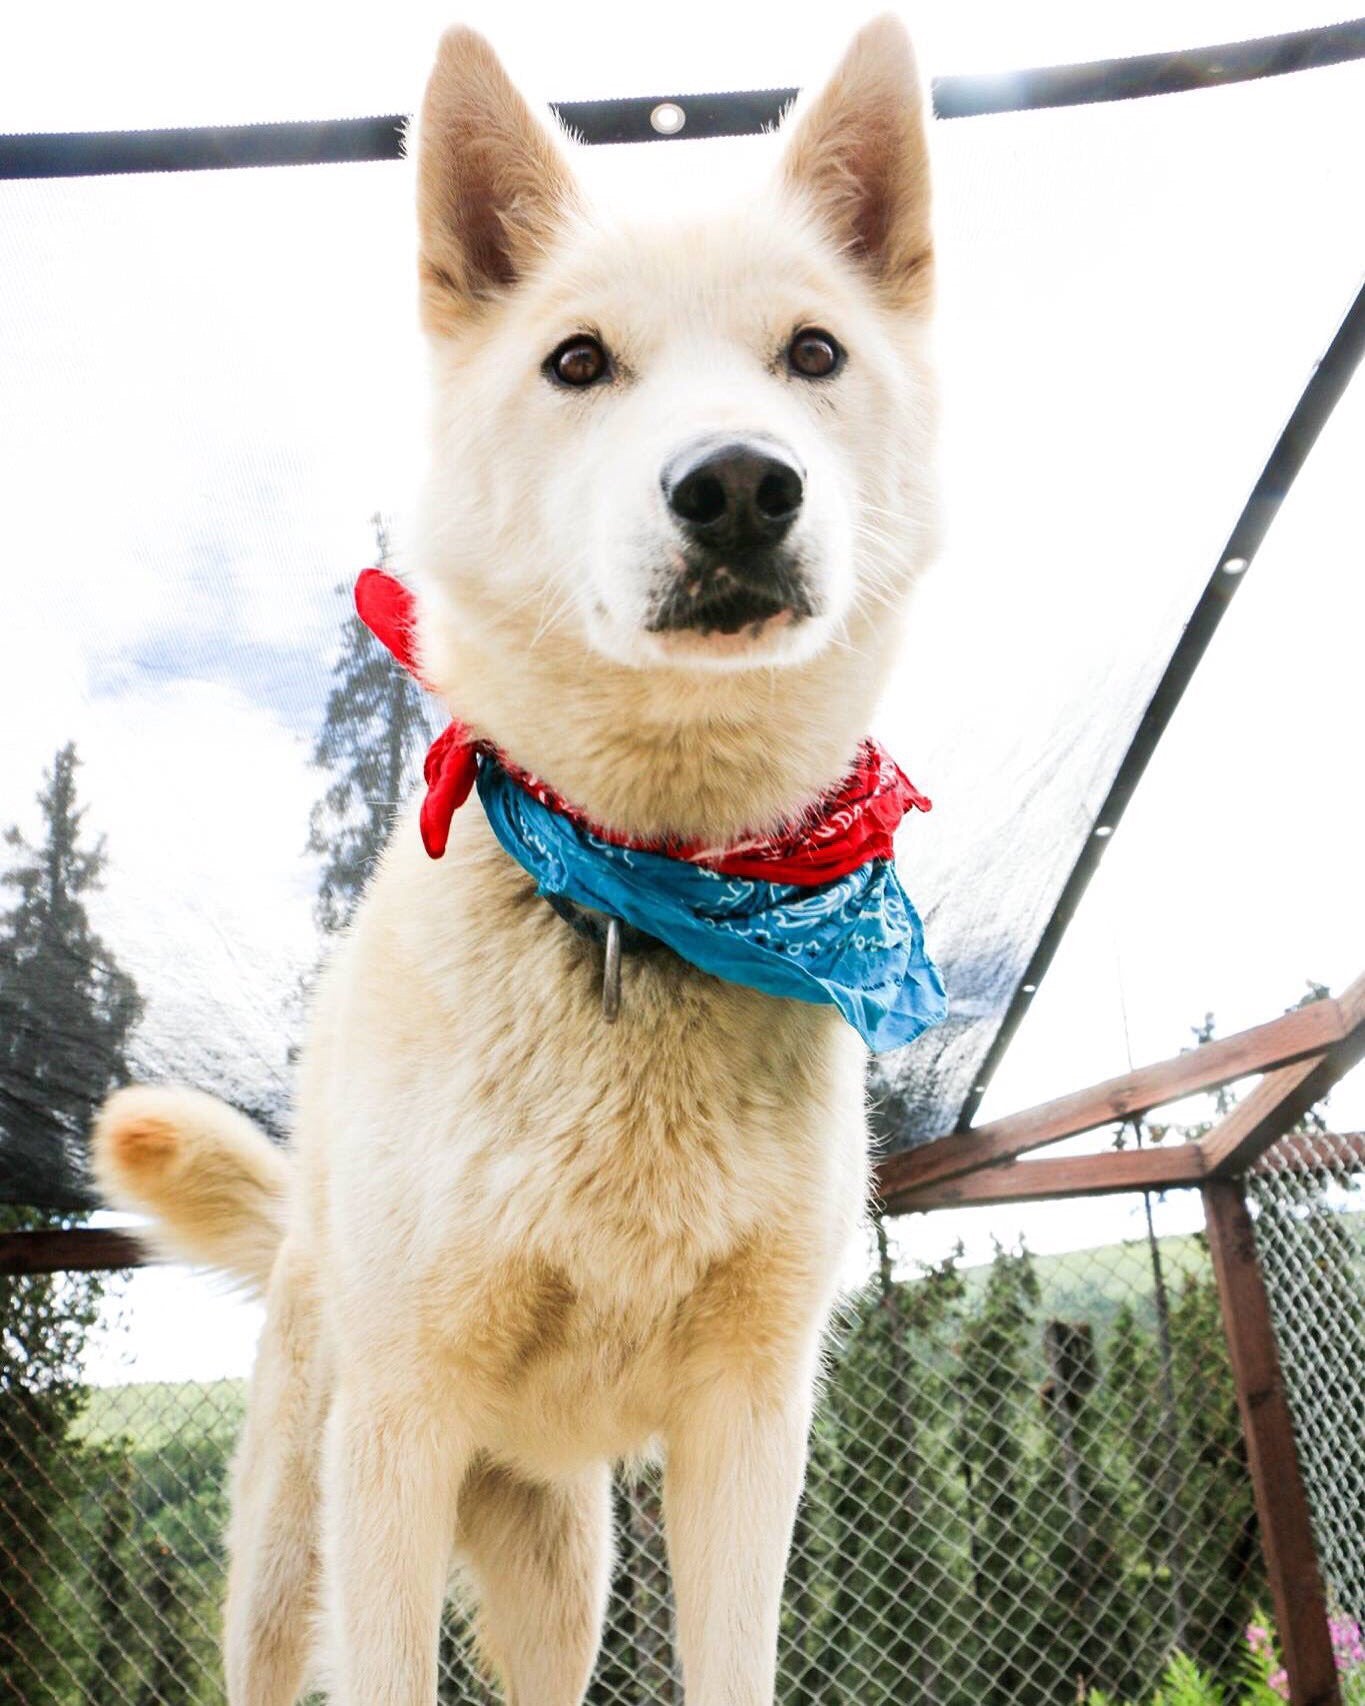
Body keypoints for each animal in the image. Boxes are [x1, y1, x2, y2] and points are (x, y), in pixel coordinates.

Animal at [87, 16, 941, 1706]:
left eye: (813, 354)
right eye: (578, 361)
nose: (737, 483)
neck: (644, 895)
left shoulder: (750, 1431)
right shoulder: (397, 1443)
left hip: (568, 1569)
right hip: (291, 1550)